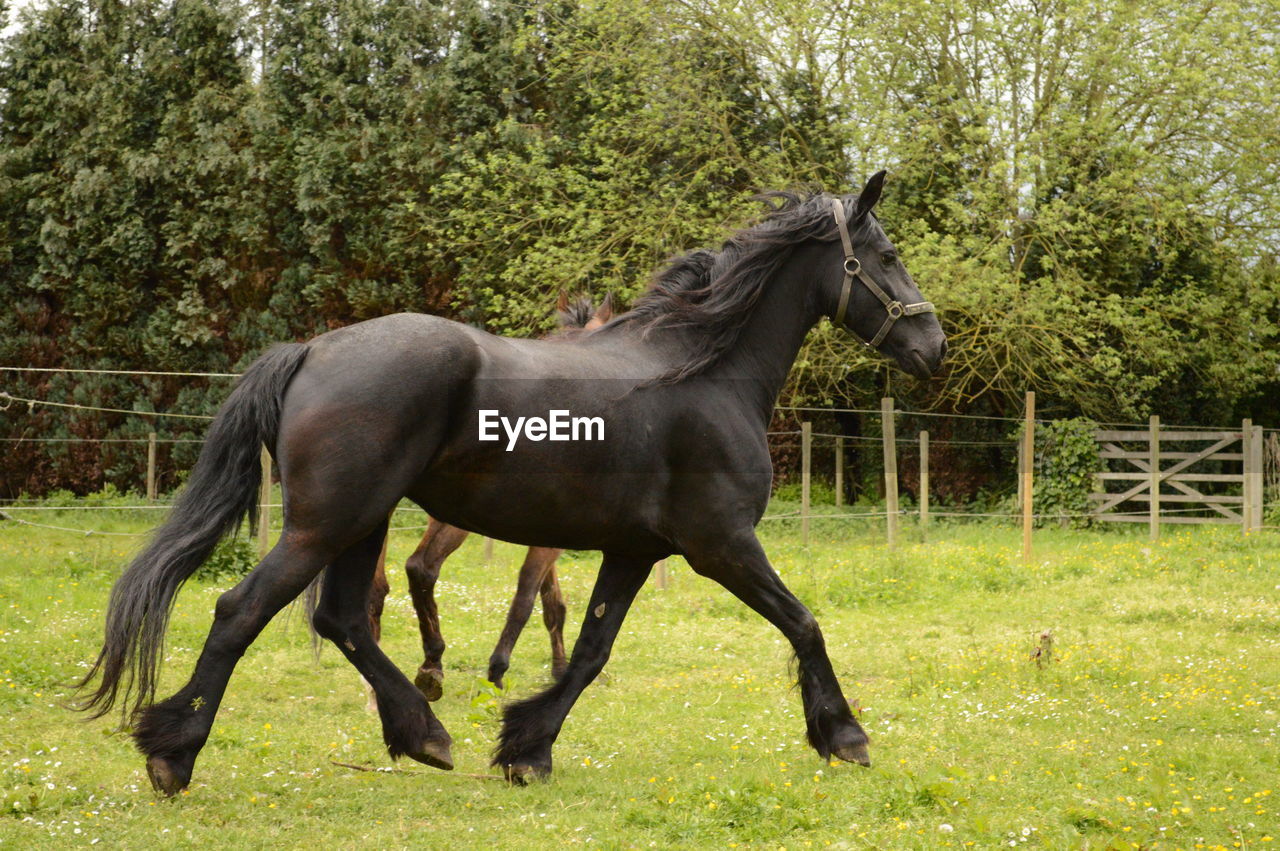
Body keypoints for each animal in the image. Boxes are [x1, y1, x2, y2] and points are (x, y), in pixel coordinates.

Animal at [366, 291, 614, 701]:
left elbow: (552, 604)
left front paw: (558, 669)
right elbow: (525, 597)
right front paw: (497, 671)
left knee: (375, 591)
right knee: (420, 568)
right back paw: (431, 666)